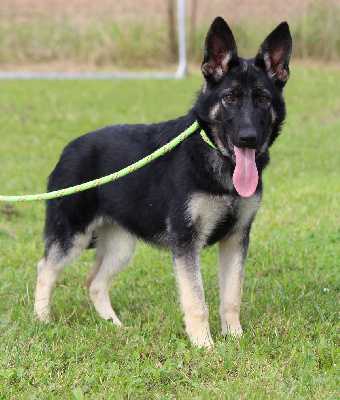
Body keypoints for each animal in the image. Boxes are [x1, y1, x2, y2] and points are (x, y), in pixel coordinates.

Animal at [35, 17, 294, 346]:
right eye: (229, 98)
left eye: (262, 99)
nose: (248, 139)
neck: (216, 160)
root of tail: (68, 148)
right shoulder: (185, 242)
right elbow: (196, 300)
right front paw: (204, 345)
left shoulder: (236, 239)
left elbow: (232, 296)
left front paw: (234, 339)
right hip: (72, 237)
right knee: (45, 269)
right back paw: (42, 320)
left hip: (121, 245)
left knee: (94, 282)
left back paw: (113, 325)